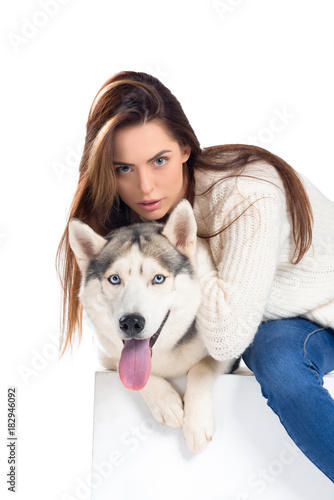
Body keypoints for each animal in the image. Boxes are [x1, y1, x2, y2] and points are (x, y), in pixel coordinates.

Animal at [68, 199, 235, 454]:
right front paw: (167, 403)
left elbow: (201, 368)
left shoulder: (228, 352)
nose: (131, 322)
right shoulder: (104, 355)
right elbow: (125, 371)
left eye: (158, 278)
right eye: (114, 279)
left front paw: (196, 424)